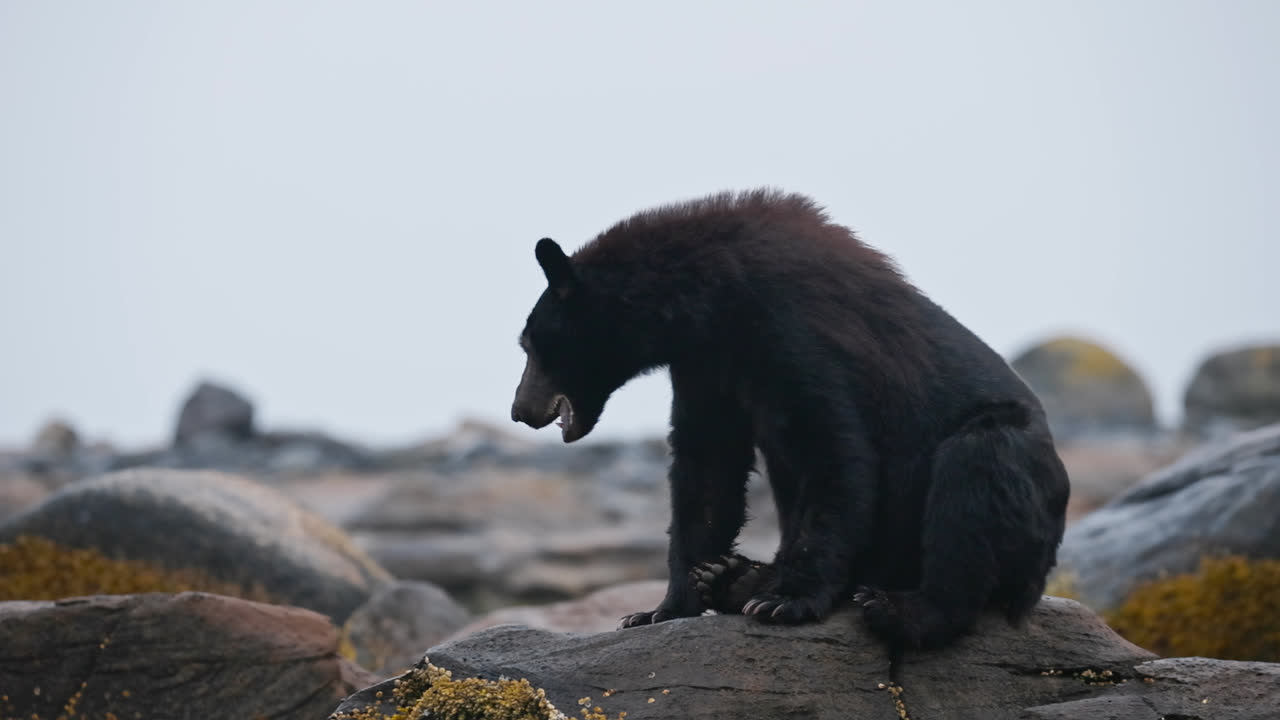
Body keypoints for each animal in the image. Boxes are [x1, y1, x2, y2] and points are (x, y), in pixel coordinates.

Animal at [510, 189, 1071, 650]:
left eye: (531, 344)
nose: (519, 411)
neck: (712, 296)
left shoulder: (797, 330)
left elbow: (834, 450)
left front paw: (789, 601)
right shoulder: (706, 363)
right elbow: (706, 465)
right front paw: (659, 609)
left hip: (1013, 481)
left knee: (973, 479)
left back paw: (895, 608)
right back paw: (733, 577)